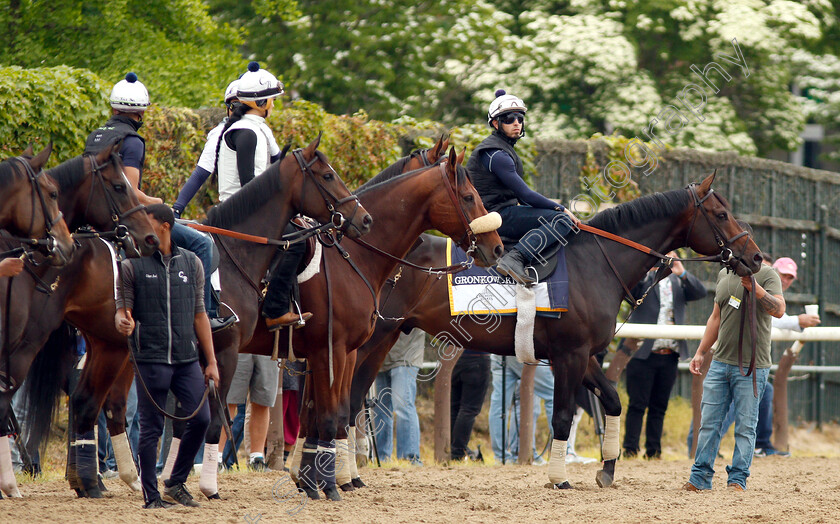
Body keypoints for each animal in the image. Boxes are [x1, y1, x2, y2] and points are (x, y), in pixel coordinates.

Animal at [344, 174, 764, 490]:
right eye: (722, 214)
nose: (756, 257)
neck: (595, 261)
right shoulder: (570, 356)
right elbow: (562, 416)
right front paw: (559, 477)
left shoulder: (585, 355)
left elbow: (613, 401)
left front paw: (607, 469)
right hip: (373, 340)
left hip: (383, 339)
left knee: (353, 398)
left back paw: (348, 476)